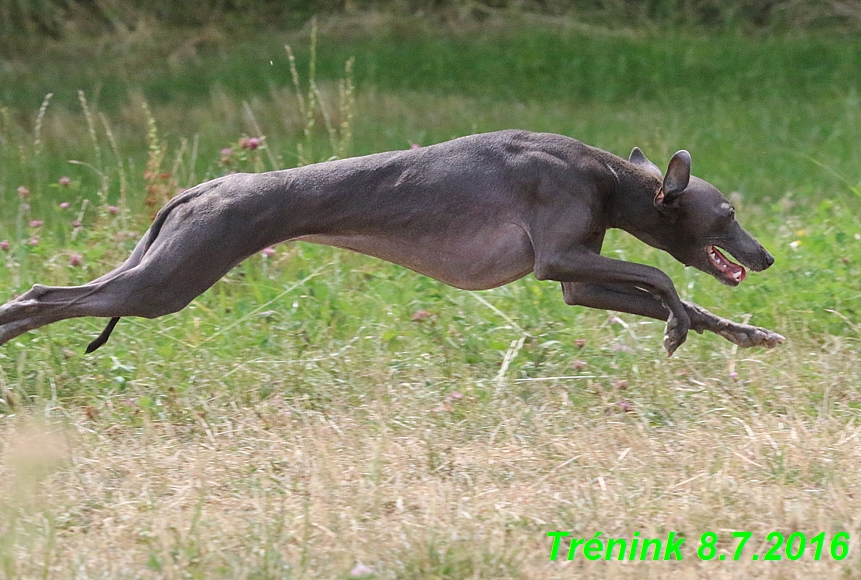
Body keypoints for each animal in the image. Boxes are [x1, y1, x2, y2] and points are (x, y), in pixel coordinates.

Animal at [0, 130, 784, 354]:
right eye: (726, 216)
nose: (766, 256)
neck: (603, 174)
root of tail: (199, 191)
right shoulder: (560, 257)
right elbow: (664, 279)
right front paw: (679, 326)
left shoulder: (576, 281)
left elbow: (672, 296)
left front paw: (745, 333)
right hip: (167, 281)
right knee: (44, 295)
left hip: (158, 268)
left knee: (55, 297)